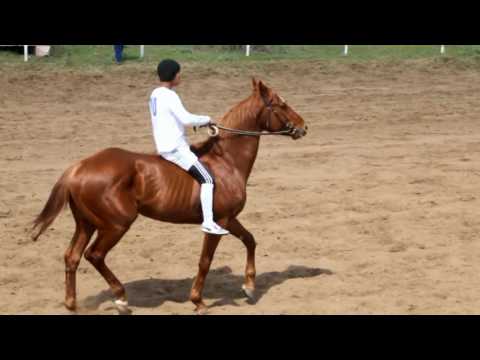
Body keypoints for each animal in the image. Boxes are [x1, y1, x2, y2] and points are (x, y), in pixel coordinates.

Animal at [31, 77, 308, 314]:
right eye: (281, 104)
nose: (304, 127)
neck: (227, 161)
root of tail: (78, 167)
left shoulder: (230, 219)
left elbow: (250, 240)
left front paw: (249, 287)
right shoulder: (220, 222)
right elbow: (205, 260)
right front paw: (198, 301)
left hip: (86, 223)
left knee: (72, 257)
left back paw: (72, 304)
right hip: (116, 225)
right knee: (94, 255)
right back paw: (121, 299)